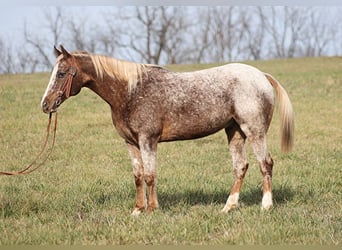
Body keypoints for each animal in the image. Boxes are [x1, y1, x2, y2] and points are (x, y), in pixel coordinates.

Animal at [41, 45, 294, 215]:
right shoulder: (131, 143)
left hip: (255, 131)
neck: (130, 91)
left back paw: (266, 205)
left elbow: (150, 175)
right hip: (235, 132)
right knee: (240, 167)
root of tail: (261, 76)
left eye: (61, 73)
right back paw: (228, 207)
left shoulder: (148, 140)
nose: (45, 105)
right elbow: (138, 176)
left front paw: (152, 209)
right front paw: (137, 210)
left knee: (265, 164)